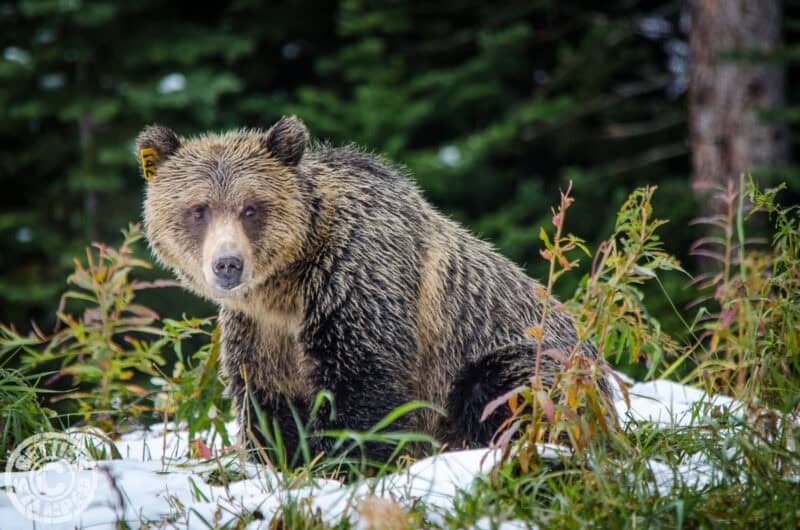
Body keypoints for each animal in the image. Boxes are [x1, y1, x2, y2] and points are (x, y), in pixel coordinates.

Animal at [138, 116, 612, 462]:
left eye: (251, 208)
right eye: (198, 210)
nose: (227, 264)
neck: (285, 287)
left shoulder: (354, 284)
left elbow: (363, 387)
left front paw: (344, 461)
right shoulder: (259, 332)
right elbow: (266, 404)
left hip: (528, 355)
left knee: (506, 392)